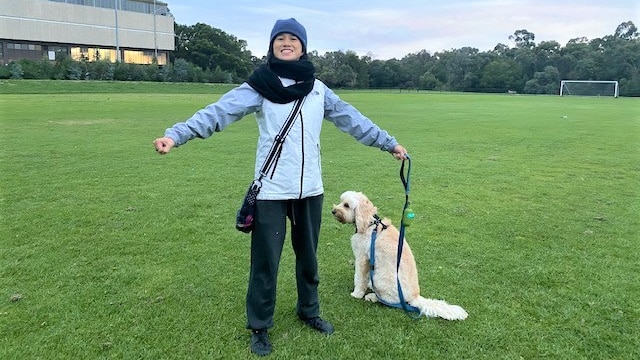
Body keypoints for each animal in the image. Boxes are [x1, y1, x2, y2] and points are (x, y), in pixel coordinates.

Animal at [332, 191, 468, 320]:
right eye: (341, 201)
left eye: (346, 205)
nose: (333, 211)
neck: (370, 224)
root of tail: (415, 297)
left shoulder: (361, 258)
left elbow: (359, 278)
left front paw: (356, 294)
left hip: (379, 277)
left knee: (388, 300)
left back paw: (372, 296)